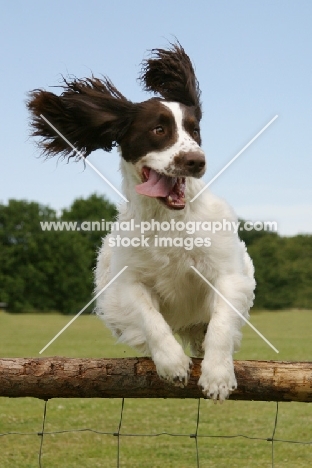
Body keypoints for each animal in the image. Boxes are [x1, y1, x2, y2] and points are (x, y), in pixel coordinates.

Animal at [27, 41, 256, 402]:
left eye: (195, 131)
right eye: (158, 129)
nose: (196, 161)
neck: (168, 220)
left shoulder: (229, 274)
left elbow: (220, 323)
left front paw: (218, 376)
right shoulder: (128, 282)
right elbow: (151, 320)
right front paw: (172, 363)